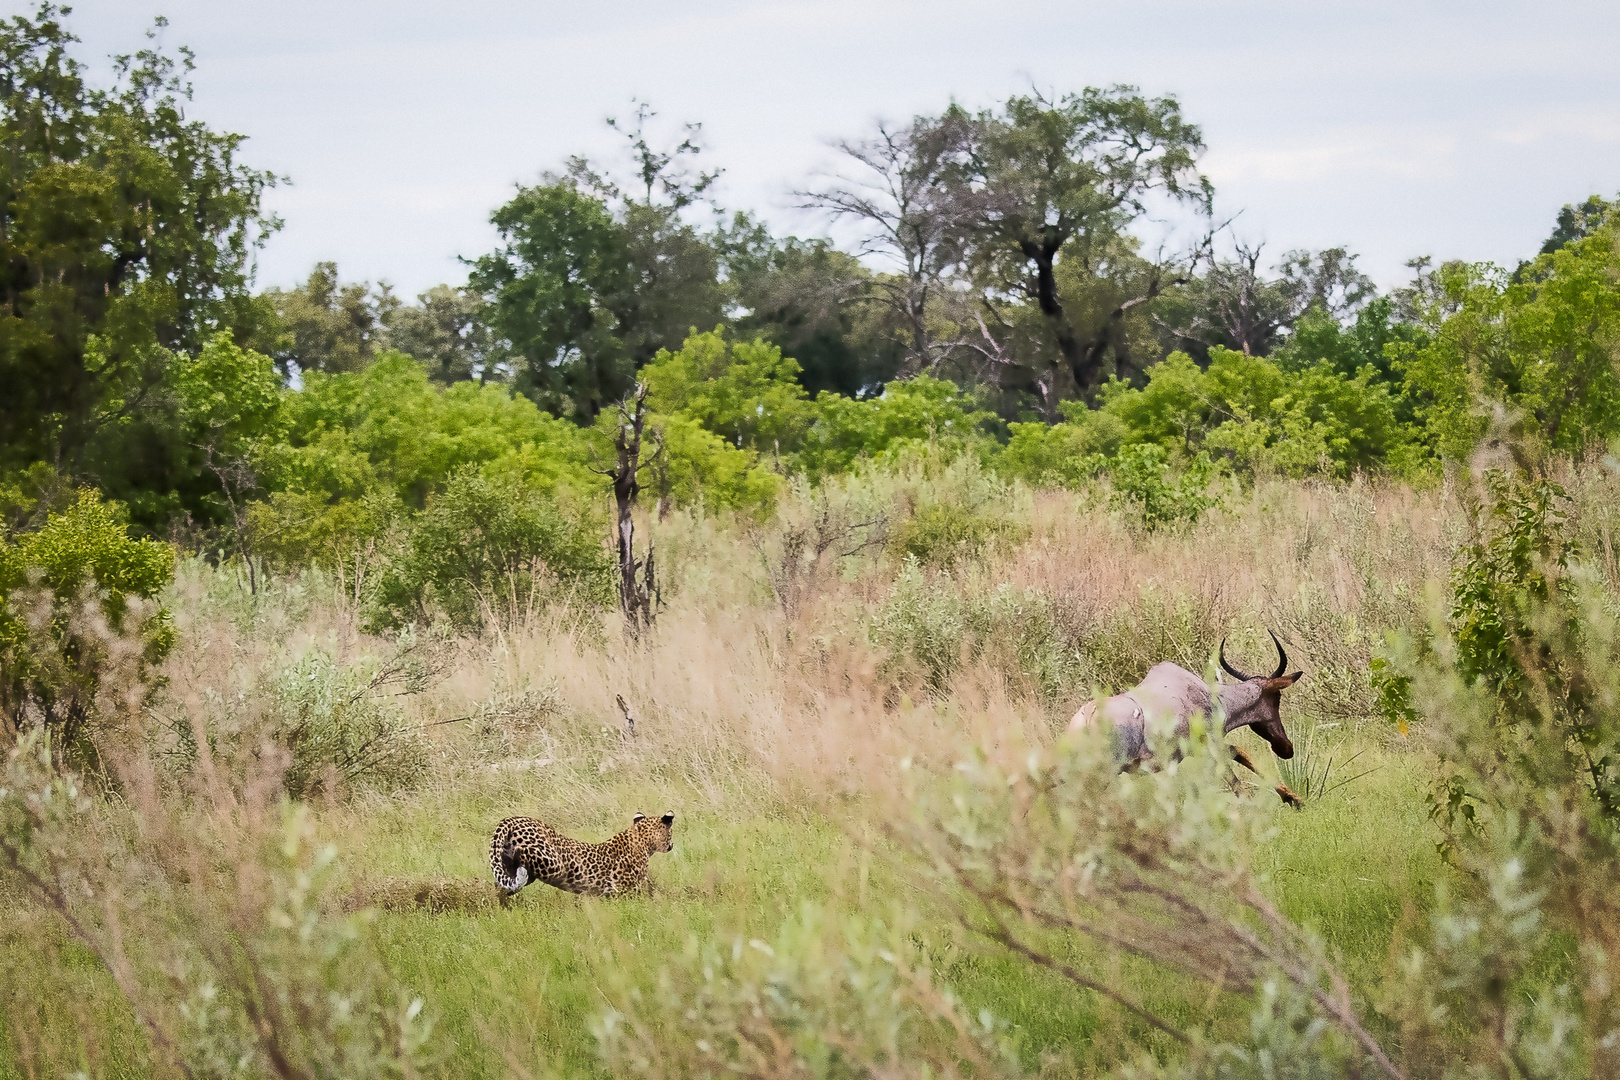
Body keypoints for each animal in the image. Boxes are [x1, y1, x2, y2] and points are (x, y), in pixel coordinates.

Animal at [489, 809, 673, 893]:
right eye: (671, 833)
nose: (671, 845)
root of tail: (512, 819)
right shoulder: (623, 887)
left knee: (502, 885)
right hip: (553, 862)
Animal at [1069, 628, 1308, 806]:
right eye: (1276, 698)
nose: (1286, 748)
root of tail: (1085, 720)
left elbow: (1237, 753)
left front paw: (1293, 798)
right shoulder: (1210, 744)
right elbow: (1234, 771)